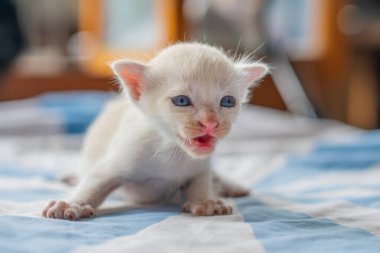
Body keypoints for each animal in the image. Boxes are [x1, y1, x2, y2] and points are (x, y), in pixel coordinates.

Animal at [41, 42, 268, 219]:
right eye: (181, 101)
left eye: (228, 101)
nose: (210, 123)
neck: (172, 151)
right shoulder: (116, 160)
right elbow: (93, 184)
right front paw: (72, 204)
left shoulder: (201, 166)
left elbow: (202, 181)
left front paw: (206, 201)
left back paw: (230, 186)